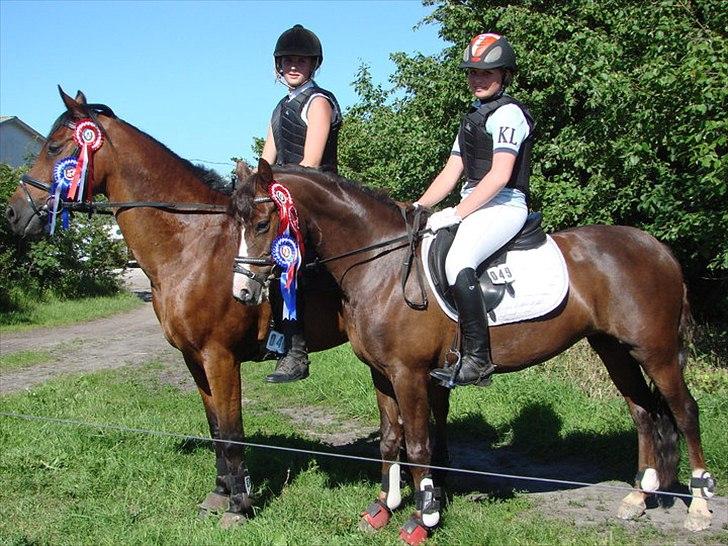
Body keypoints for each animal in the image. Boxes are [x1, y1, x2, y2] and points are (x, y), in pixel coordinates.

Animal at [4, 89, 347, 526]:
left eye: (53, 147)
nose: (13, 213)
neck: (192, 246)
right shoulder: (194, 357)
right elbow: (215, 428)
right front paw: (219, 495)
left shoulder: (220, 357)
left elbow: (232, 432)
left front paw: (239, 507)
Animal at [230, 159, 715, 540]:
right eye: (237, 224)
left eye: (261, 224)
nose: (242, 292)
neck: (381, 265)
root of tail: (659, 249)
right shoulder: (381, 373)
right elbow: (389, 440)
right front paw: (382, 509)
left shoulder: (408, 373)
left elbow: (419, 445)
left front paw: (422, 519)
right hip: (613, 348)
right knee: (643, 413)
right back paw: (637, 498)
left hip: (655, 351)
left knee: (685, 411)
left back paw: (699, 507)